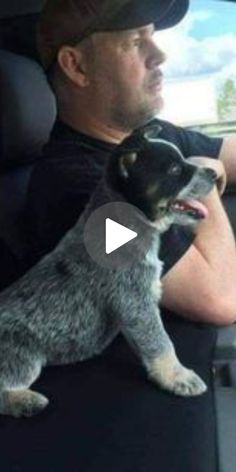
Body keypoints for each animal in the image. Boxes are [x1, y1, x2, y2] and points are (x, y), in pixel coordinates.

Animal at [0, 125, 216, 416]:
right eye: (174, 170)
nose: (214, 173)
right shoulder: (136, 303)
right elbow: (161, 342)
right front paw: (177, 376)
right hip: (22, 355)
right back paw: (25, 401)